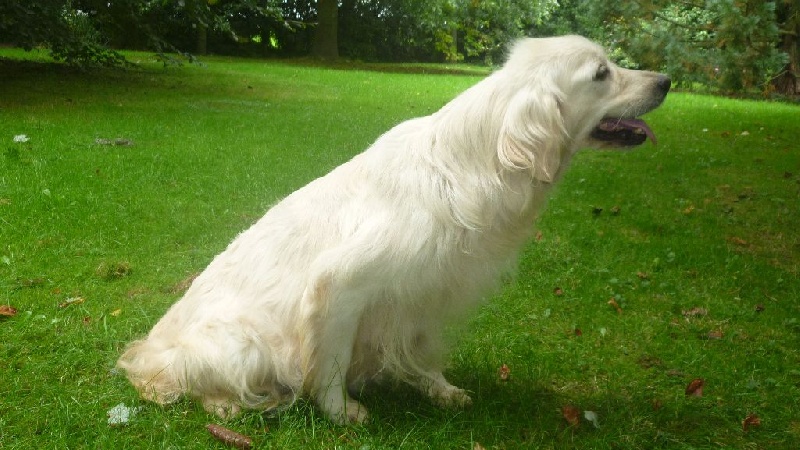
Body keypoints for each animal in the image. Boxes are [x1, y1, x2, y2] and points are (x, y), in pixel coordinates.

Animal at [117, 35, 670, 425]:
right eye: (601, 73)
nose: (665, 81)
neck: (477, 162)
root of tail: (144, 357)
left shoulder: (425, 295)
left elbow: (421, 351)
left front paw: (439, 388)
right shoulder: (340, 286)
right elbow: (331, 362)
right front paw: (341, 413)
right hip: (245, 343)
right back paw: (227, 404)